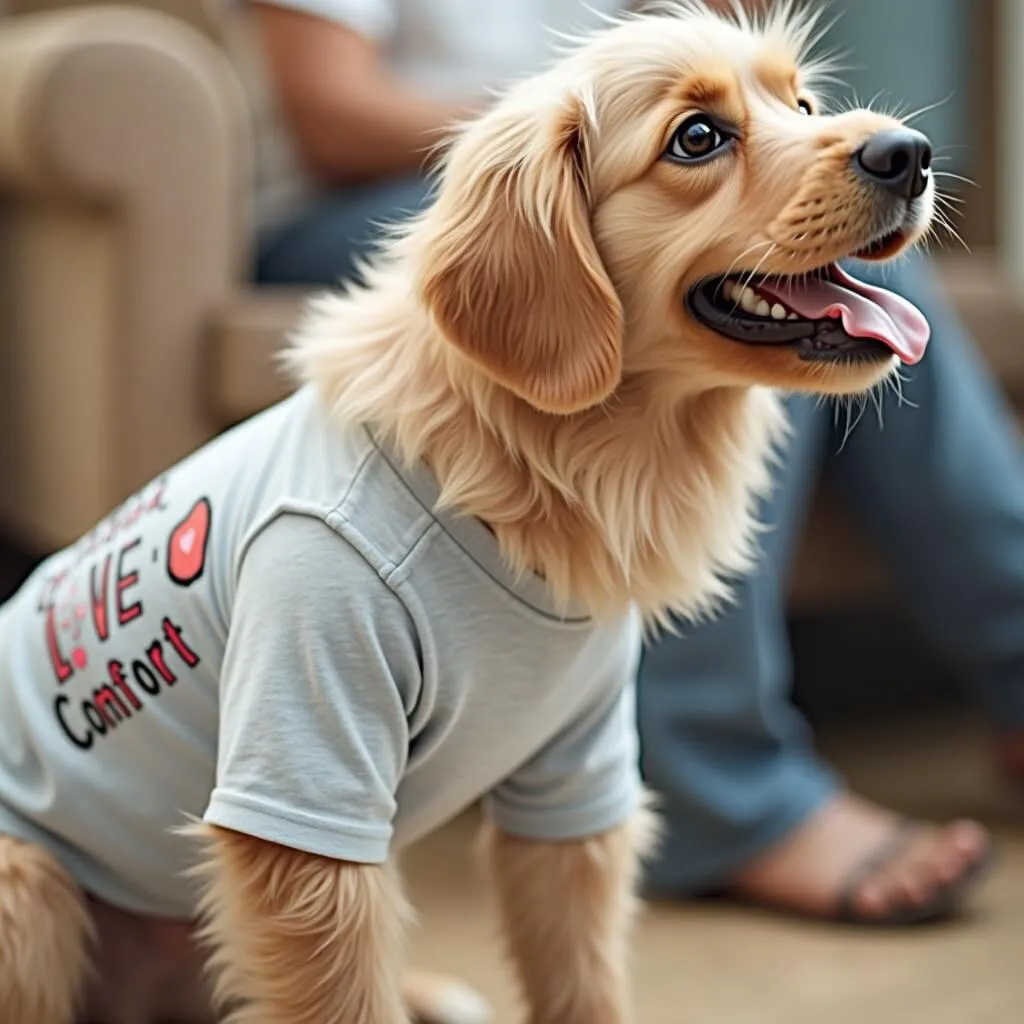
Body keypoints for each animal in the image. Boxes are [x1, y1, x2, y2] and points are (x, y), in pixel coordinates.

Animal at [0, 2, 937, 1024]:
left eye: (801, 103)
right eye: (697, 138)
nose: (910, 152)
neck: (533, 467)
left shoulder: (576, 779)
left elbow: (581, 979)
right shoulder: (306, 774)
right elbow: (345, 995)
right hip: (30, 887)